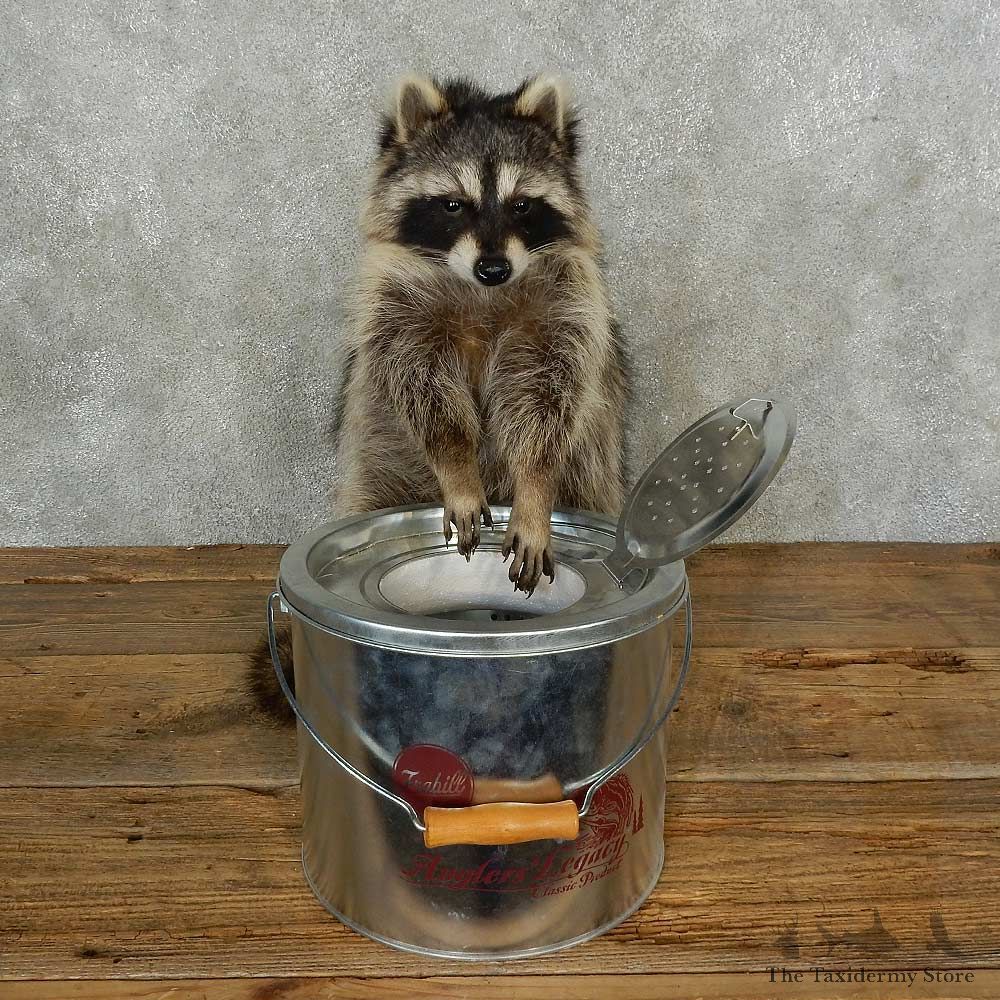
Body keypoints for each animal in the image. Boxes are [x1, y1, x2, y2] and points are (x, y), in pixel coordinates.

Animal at [335, 74, 628, 595]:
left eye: (522, 205)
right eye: (453, 204)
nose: (494, 268)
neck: (483, 293)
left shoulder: (567, 307)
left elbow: (549, 408)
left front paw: (534, 491)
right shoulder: (395, 304)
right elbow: (424, 393)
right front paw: (457, 468)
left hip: (592, 478)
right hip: (380, 460)